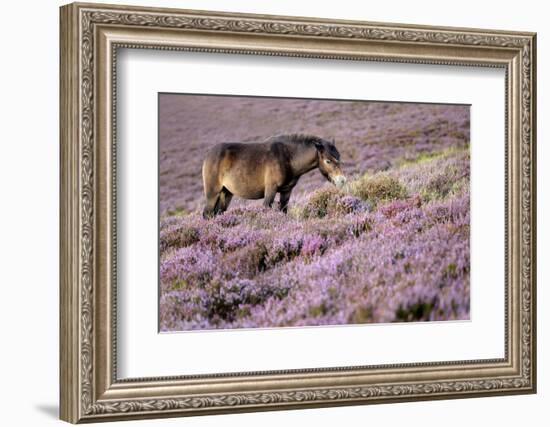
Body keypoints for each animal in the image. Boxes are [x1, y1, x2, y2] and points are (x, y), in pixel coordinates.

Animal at [203, 134, 350, 219]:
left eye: (339, 157)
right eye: (328, 161)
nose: (342, 180)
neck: (288, 157)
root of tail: (208, 155)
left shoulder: (286, 191)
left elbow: (283, 211)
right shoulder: (271, 190)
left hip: (226, 193)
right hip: (213, 194)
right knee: (207, 214)